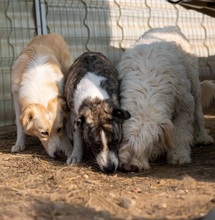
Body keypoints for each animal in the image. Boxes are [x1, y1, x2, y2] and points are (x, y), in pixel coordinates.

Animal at [118, 26, 212, 172]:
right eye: (125, 139)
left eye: (147, 144)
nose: (128, 166)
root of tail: (168, 27)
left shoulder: (185, 103)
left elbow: (181, 132)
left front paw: (179, 155)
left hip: (194, 83)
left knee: (198, 112)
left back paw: (203, 136)